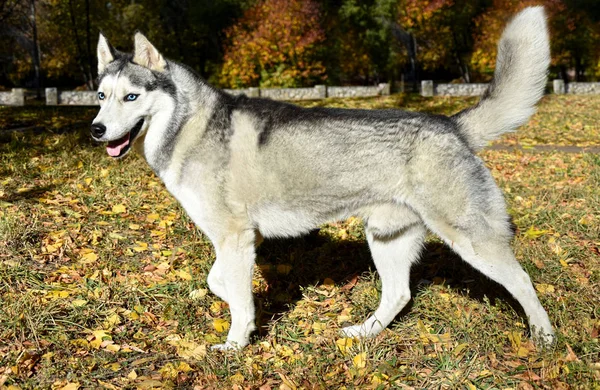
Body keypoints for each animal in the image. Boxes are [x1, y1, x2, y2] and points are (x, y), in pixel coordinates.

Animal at [91, 7, 556, 348]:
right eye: (100, 96)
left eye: (131, 96)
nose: (96, 130)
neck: (193, 126)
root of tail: (452, 125)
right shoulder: (240, 240)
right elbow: (218, 282)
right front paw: (243, 315)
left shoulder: (234, 237)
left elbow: (235, 299)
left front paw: (236, 346)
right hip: (385, 239)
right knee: (398, 295)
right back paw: (364, 334)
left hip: (471, 240)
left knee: (523, 281)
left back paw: (545, 338)